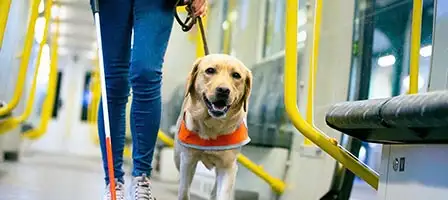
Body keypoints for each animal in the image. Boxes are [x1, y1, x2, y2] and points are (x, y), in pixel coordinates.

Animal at [173, 53, 252, 200]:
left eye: (236, 75)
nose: (223, 90)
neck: (212, 125)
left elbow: (223, 193)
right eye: (210, 70)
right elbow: (184, 191)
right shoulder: (188, 160)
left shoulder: (228, 166)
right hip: (177, 156)